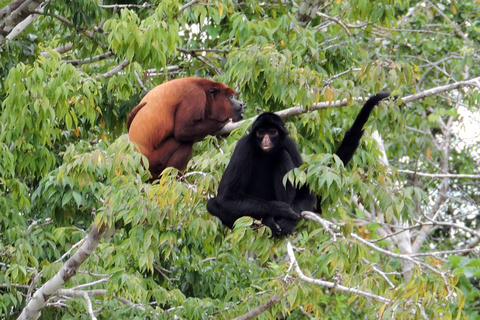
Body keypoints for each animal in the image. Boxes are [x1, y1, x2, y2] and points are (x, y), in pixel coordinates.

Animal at [208, 91, 392, 236]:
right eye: (261, 133)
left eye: (272, 132)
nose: (266, 139)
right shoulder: (243, 146)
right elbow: (226, 196)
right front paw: (278, 208)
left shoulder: (289, 143)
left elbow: (307, 193)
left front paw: (288, 217)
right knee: (212, 204)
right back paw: (268, 218)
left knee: (282, 156)